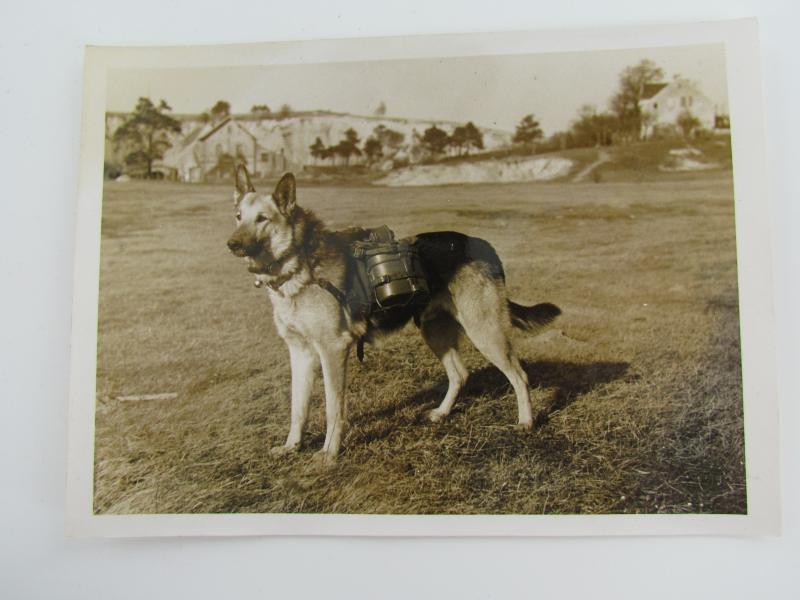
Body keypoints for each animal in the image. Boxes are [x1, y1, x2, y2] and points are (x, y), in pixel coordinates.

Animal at [228, 166, 560, 466]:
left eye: (262, 219)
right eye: (238, 216)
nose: (232, 244)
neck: (299, 265)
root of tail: (484, 246)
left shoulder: (333, 350)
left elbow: (334, 408)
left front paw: (329, 454)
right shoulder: (300, 353)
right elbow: (297, 408)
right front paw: (291, 447)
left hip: (485, 332)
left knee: (519, 376)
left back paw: (526, 422)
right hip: (435, 332)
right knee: (460, 374)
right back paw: (441, 413)